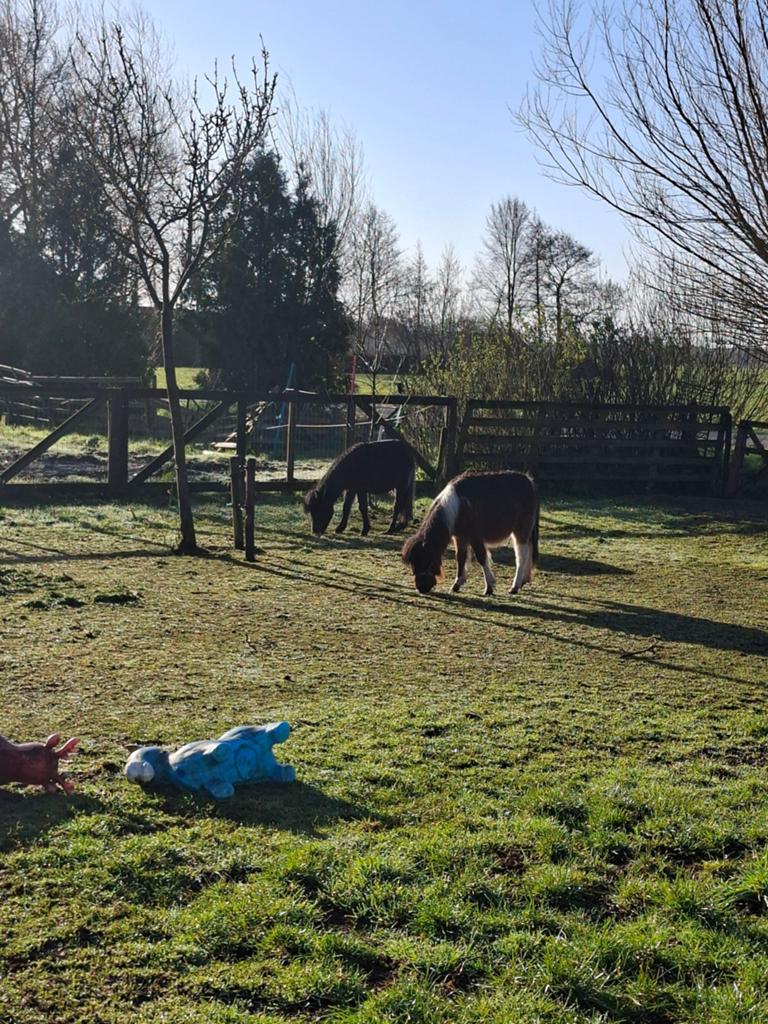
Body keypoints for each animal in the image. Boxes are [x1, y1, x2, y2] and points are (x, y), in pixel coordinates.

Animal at [402, 471, 539, 596]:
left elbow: (481, 558)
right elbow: (461, 558)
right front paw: (456, 584)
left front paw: (489, 587)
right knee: (529, 549)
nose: (420, 588)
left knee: (521, 555)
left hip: (520, 530)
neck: (457, 507)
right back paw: (524, 581)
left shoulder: (475, 537)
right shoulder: (460, 538)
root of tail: (529, 481)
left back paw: (515, 587)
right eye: (413, 564)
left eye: (425, 560)